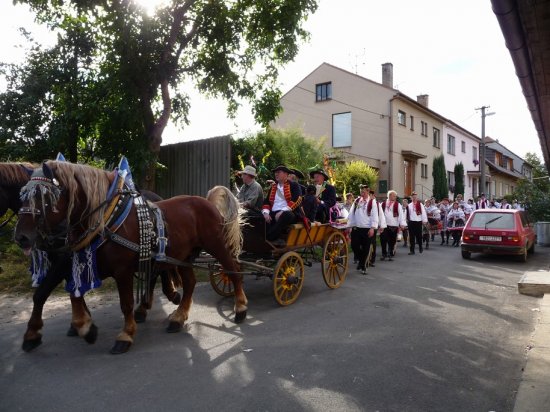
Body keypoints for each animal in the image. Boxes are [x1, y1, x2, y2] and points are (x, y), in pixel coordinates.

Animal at [14, 161, 248, 354]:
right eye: (22, 195)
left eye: (44, 196)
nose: (21, 237)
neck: (106, 221)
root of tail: (206, 201)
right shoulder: (76, 264)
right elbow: (72, 295)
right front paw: (85, 328)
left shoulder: (121, 271)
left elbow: (125, 303)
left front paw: (125, 335)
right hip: (184, 255)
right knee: (190, 282)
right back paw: (178, 317)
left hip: (216, 245)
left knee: (233, 270)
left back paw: (240, 309)